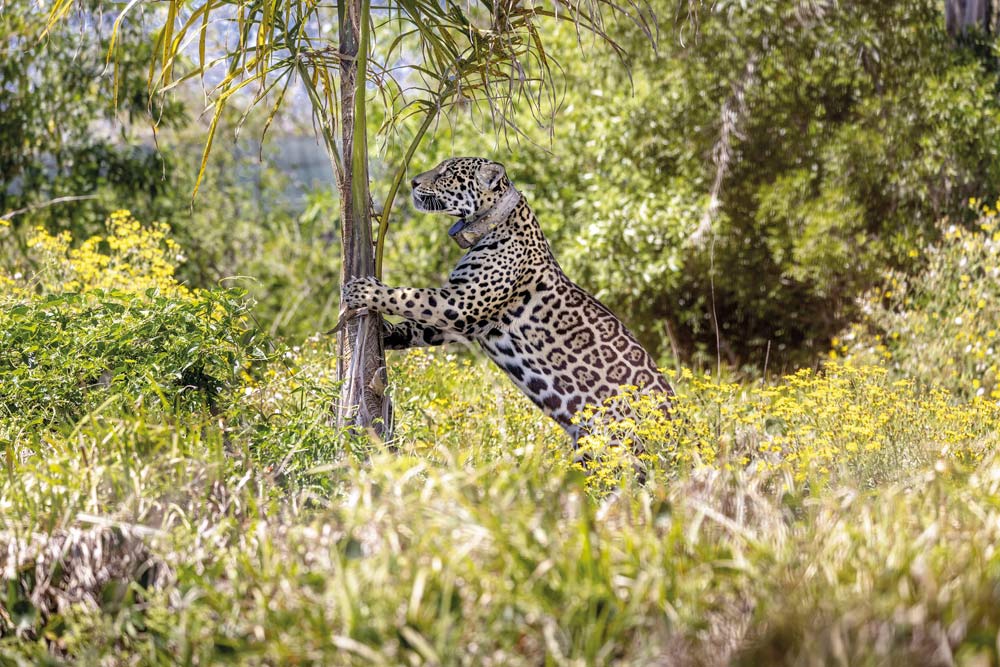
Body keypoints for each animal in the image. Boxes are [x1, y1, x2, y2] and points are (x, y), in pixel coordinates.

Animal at [342, 157, 674, 454]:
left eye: (446, 172)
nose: (412, 182)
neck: (491, 223)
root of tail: (677, 423)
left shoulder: (461, 304)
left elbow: (410, 297)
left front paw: (363, 290)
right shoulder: (461, 320)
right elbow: (417, 326)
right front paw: (386, 332)